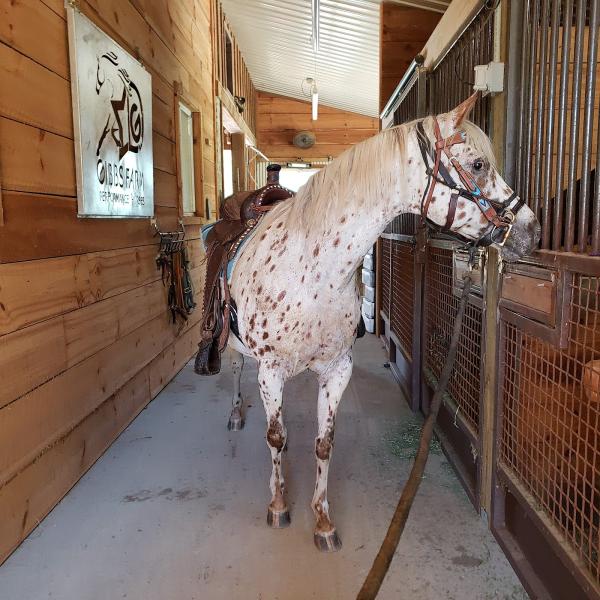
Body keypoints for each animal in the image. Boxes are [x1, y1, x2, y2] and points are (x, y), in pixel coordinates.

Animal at [196, 95, 540, 552]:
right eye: (479, 164)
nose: (531, 231)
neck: (312, 268)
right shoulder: (270, 369)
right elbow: (275, 436)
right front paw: (279, 504)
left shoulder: (337, 368)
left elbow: (323, 444)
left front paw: (323, 520)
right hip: (234, 348)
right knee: (236, 371)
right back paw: (236, 413)